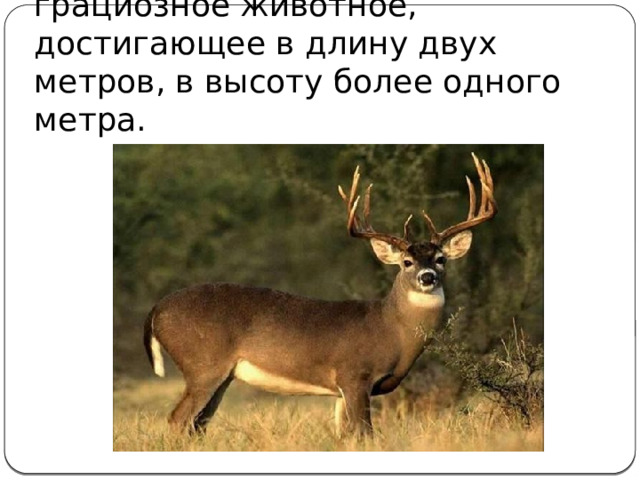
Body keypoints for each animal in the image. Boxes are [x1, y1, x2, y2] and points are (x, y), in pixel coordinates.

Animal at [143, 153, 497, 437]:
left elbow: (346, 437)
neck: (391, 330)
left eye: (440, 258)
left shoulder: (341, 391)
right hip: (203, 365)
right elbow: (366, 435)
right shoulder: (354, 374)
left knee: (197, 425)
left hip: (221, 375)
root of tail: (156, 311)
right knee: (177, 420)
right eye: (407, 262)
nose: (427, 277)